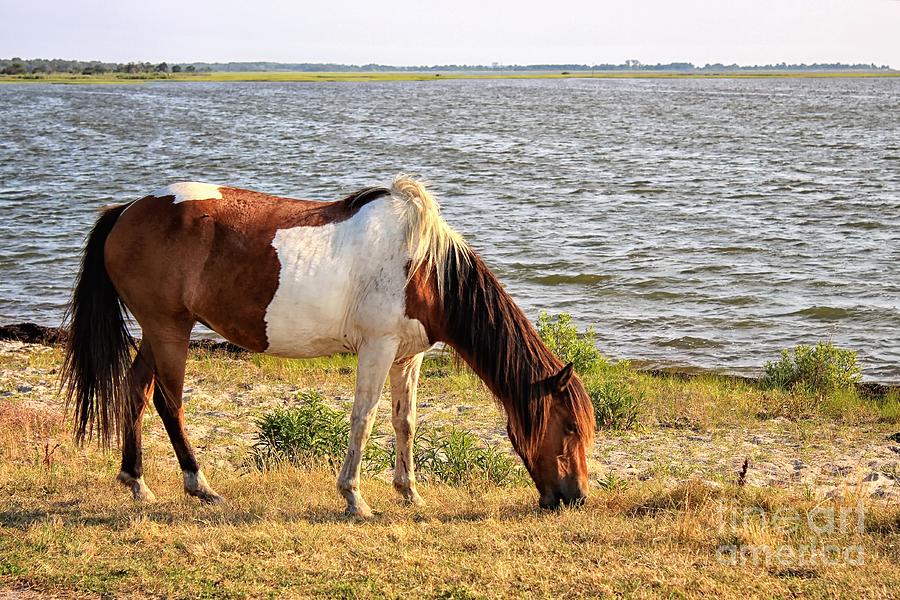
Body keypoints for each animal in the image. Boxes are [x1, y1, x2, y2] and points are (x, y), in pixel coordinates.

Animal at [65, 175, 596, 516]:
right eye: (570, 428)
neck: (424, 268)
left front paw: (410, 493)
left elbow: (405, 423)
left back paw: (137, 482)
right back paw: (200, 485)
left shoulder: (409, 356)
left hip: (157, 332)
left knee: (135, 390)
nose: (575, 497)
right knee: (168, 401)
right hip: (169, 330)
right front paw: (355, 498)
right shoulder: (377, 348)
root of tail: (126, 211)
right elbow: (365, 418)